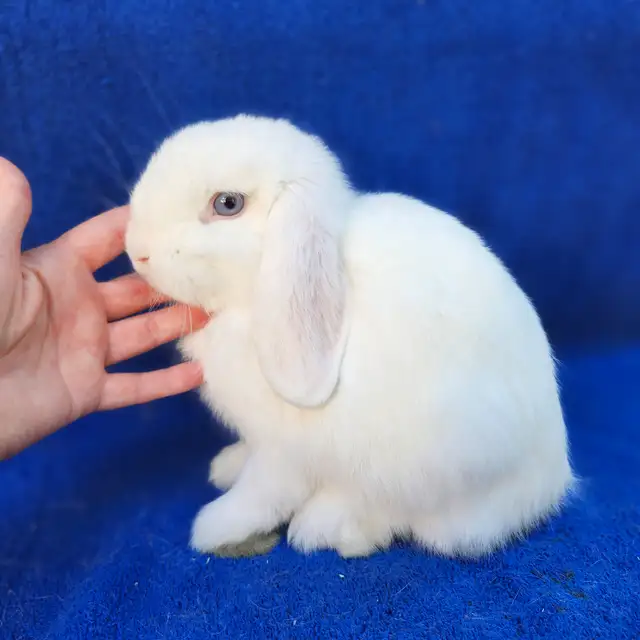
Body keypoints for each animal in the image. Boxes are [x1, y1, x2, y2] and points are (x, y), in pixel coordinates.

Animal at [125, 114, 576, 558]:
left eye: (227, 204)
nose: (136, 251)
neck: (253, 298)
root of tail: (551, 479)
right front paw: (228, 466)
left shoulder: (284, 451)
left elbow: (264, 491)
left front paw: (215, 526)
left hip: (433, 462)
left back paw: (322, 525)